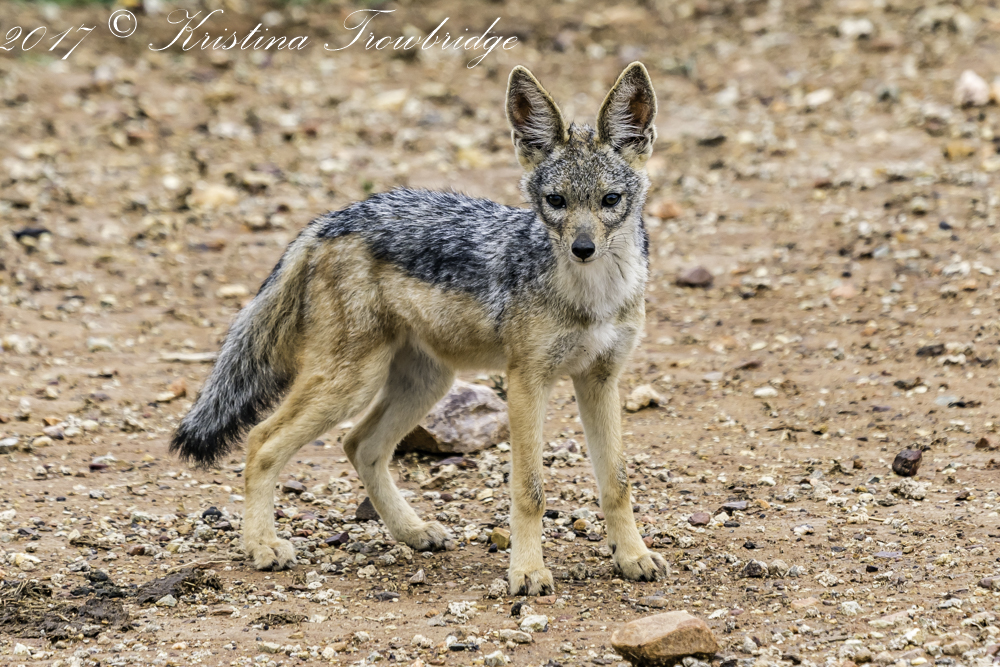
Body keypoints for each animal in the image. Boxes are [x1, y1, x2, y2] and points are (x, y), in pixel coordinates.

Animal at [171, 61, 668, 595]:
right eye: (555, 201)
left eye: (610, 200)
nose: (582, 248)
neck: (594, 297)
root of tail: (329, 220)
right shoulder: (526, 382)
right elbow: (530, 491)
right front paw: (528, 571)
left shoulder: (600, 380)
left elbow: (617, 483)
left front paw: (632, 556)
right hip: (350, 384)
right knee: (262, 441)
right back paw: (262, 545)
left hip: (424, 383)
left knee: (359, 445)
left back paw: (412, 532)